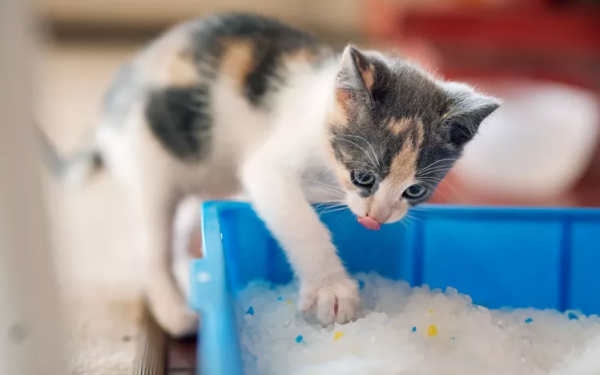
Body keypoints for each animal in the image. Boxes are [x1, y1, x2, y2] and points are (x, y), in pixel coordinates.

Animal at [38, 13, 502, 338]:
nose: (376, 218)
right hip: (153, 159)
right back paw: (175, 310)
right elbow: (302, 223)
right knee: (152, 242)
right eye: (363, 178)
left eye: (415, 190)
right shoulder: (268, 167)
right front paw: (332, 288)